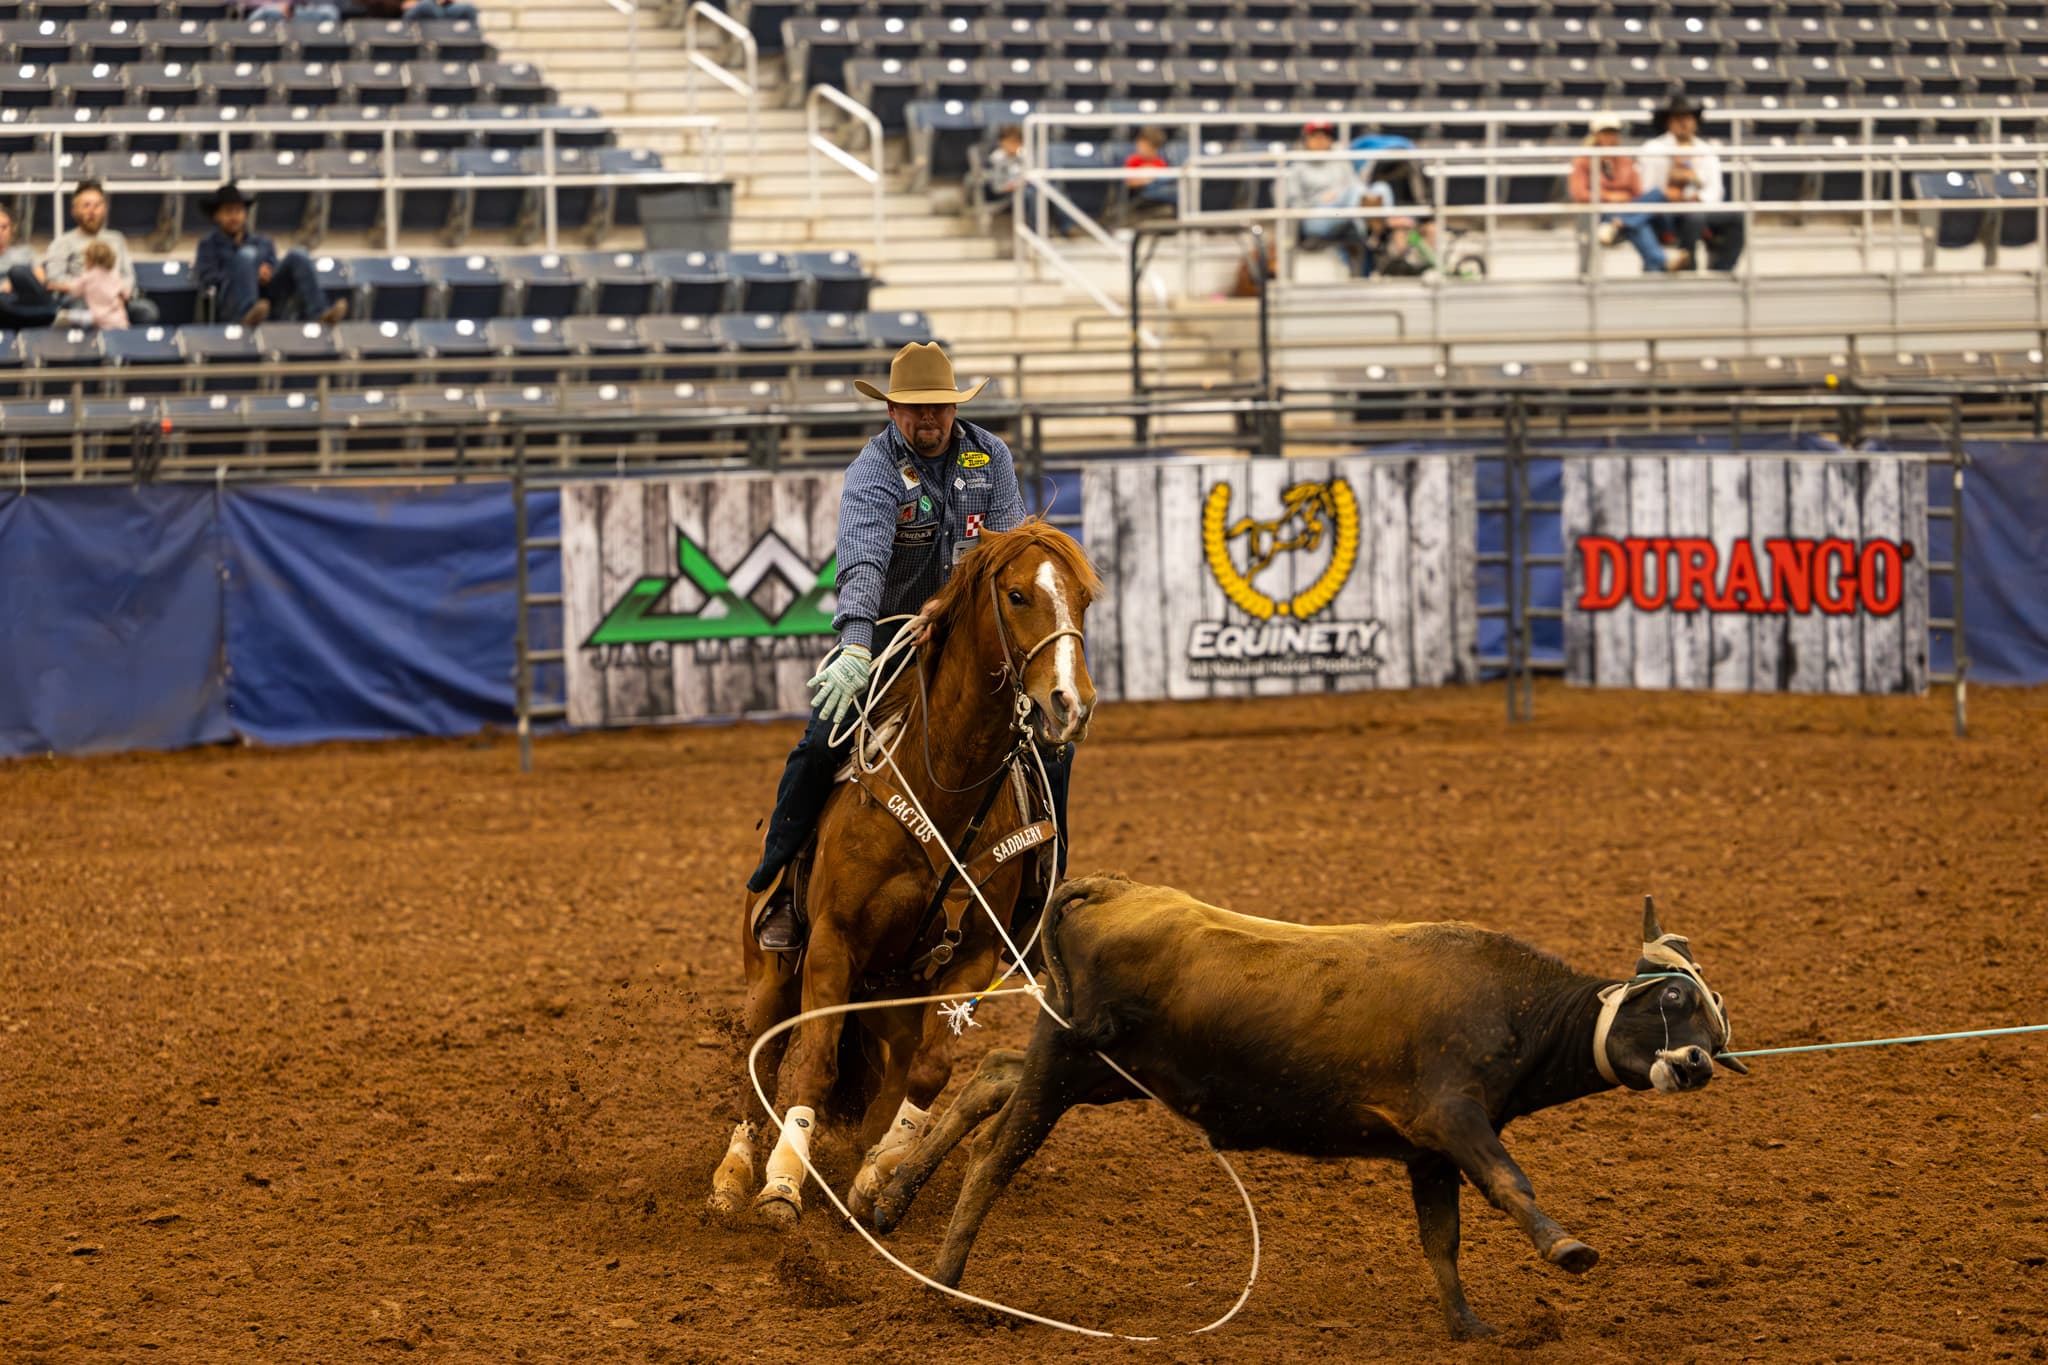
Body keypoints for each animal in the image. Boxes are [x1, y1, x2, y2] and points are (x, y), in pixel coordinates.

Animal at [707, 519, 1101, 1229]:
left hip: (894, 994)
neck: (943, 784)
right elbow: (813, 1064)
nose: (1070, 704)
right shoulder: (833, 942)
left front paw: (877, 1173)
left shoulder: (971, 954)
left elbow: (929, 1070)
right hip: (772, 972)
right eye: (1019, 595)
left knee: (893, 1067)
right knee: (764, 1057)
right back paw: (734, 1175)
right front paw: (782, 1185)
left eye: (1082, 600)